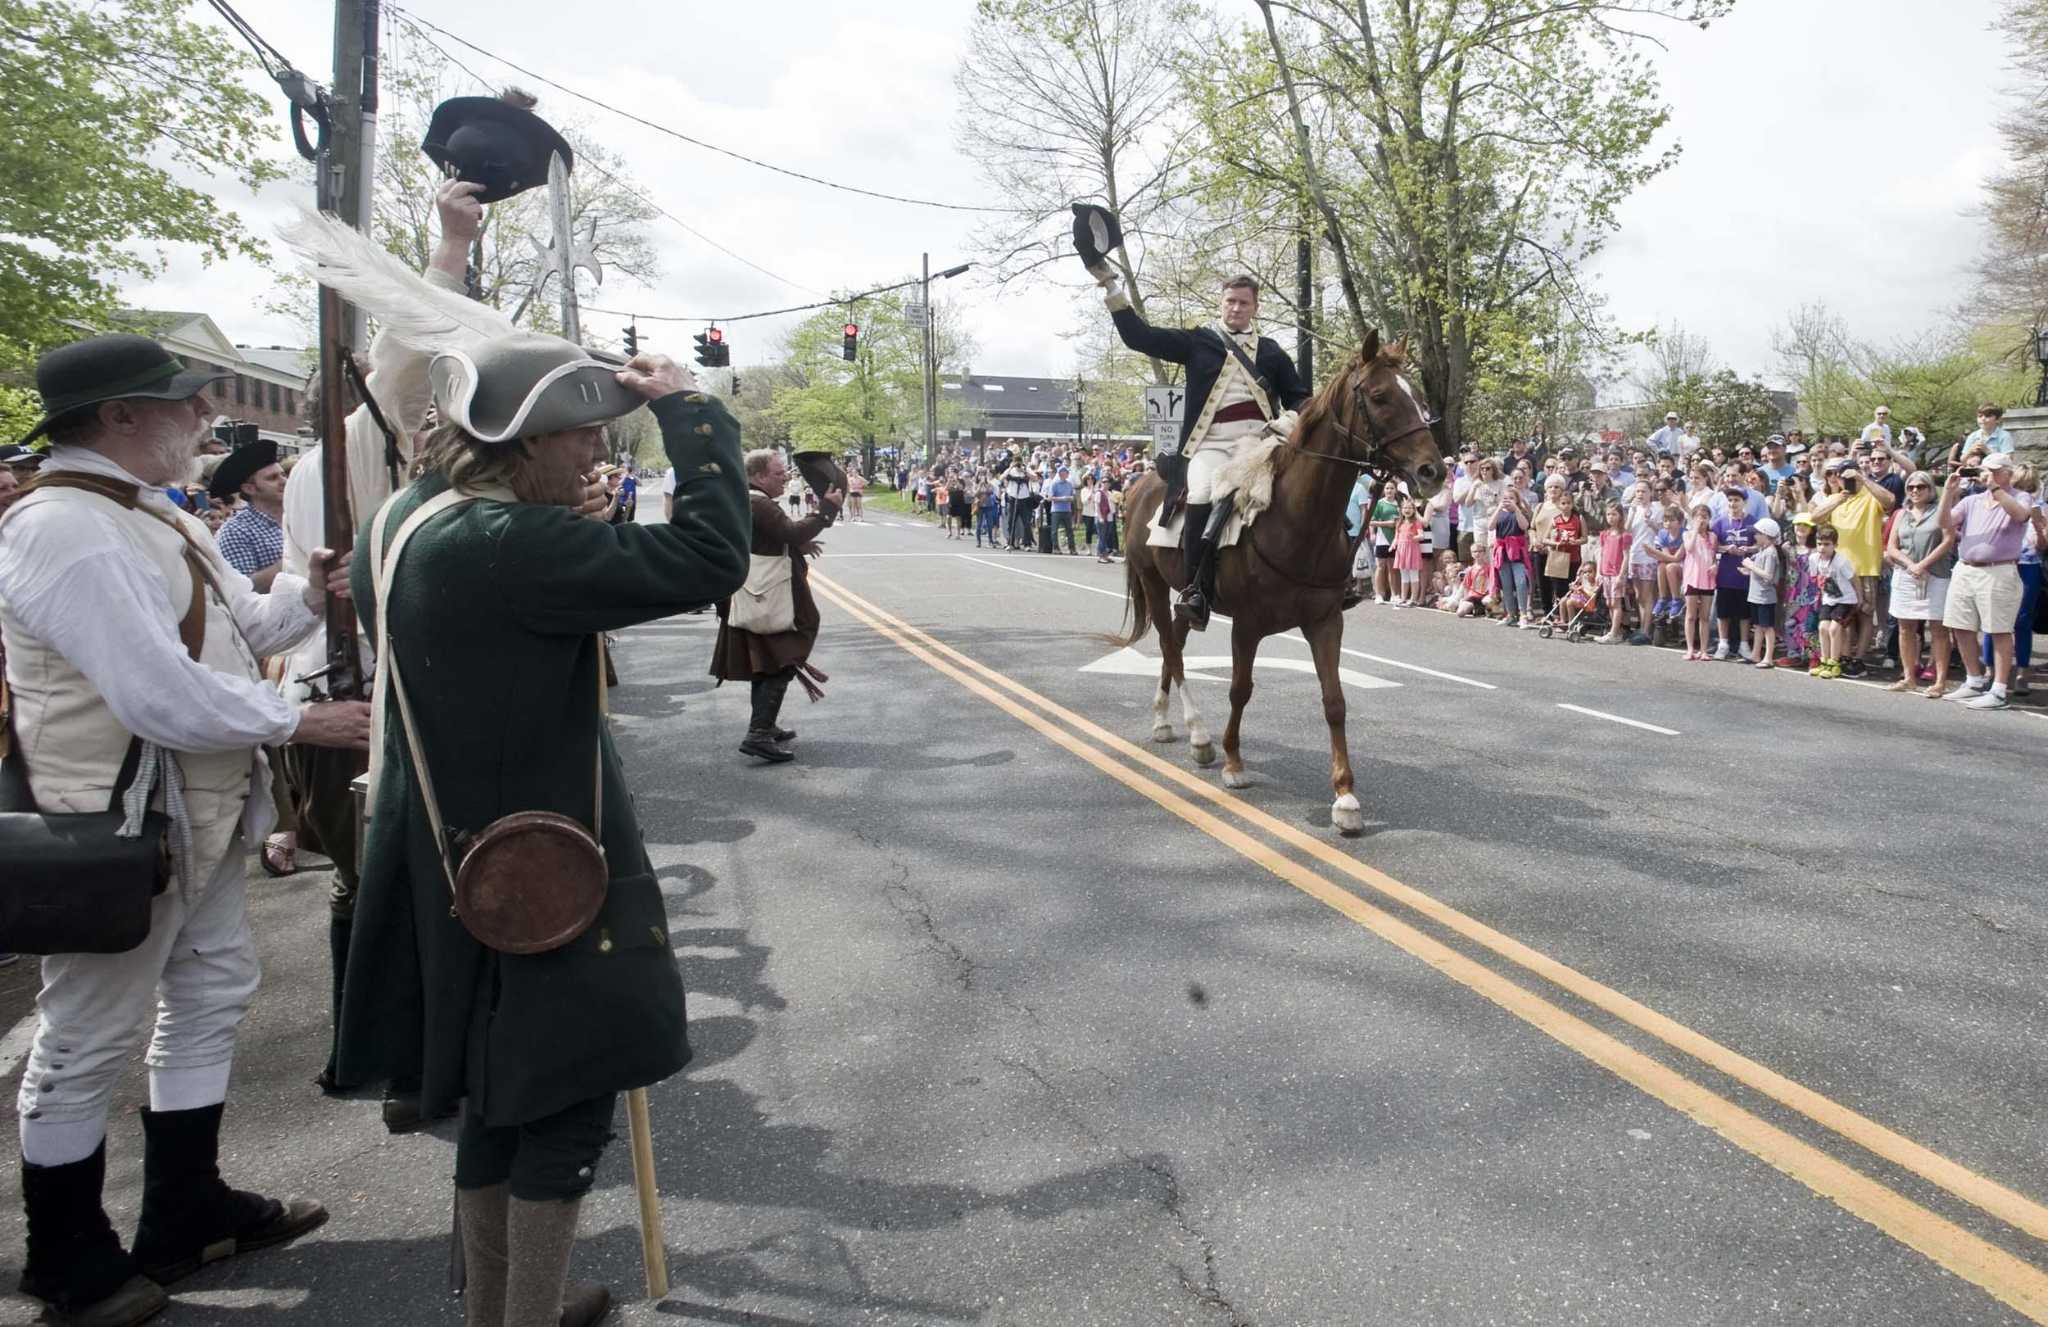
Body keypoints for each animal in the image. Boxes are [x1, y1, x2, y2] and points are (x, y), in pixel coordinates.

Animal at [1114, 329, 1449, 827]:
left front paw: (1345, 795)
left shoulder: (1325, 622)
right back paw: (1199, 736)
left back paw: (1164, 720)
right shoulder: (1247, 625)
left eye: (1419, 398)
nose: (1434, 471)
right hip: (1153, 581)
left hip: (1181, 598)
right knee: (1171, 650)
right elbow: (1240, 689)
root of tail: (1142, 484)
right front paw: (1234, 763)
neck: (1296, 518)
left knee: (1174, 640)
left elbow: (1334, 701)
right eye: (1379, 396)